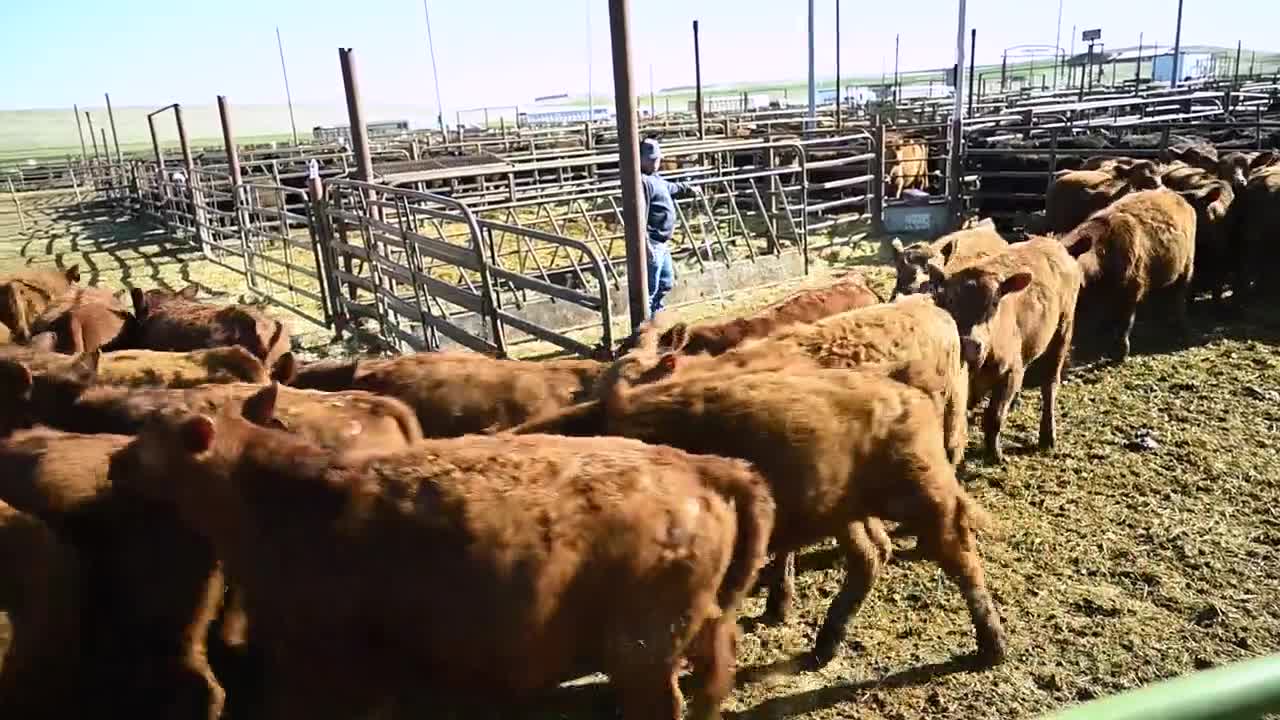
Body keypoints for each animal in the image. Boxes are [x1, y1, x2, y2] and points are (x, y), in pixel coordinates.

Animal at [113, 407, 774, 720]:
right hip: (699, 624)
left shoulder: (328, 665)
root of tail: (701, 465)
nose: (115, 463)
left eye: (147, 442)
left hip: (641, 650)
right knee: (714, 676)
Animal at [514, 365, 1008, 669]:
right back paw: (822, 650)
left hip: (923, 489)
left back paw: (993, 650)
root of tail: (912, 395)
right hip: (844, 508)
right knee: (873, 554)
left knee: (960, 554)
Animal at [932, 237, 1082, 463]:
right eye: (949, 300)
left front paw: (995, 454)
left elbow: (994, 416)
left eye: (995, 303)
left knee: (1050, 384)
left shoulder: (1010, 371)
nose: (970, 344)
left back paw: (1047, 436)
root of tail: (1052, 243)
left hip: (1064, 329)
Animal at [1061, 189, 1197, 360]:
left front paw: (1120, 352)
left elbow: (1124, 322)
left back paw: (1182, 329)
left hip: (1186, 268)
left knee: (1178, 299)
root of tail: (1172, 193)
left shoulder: (1131, 290)